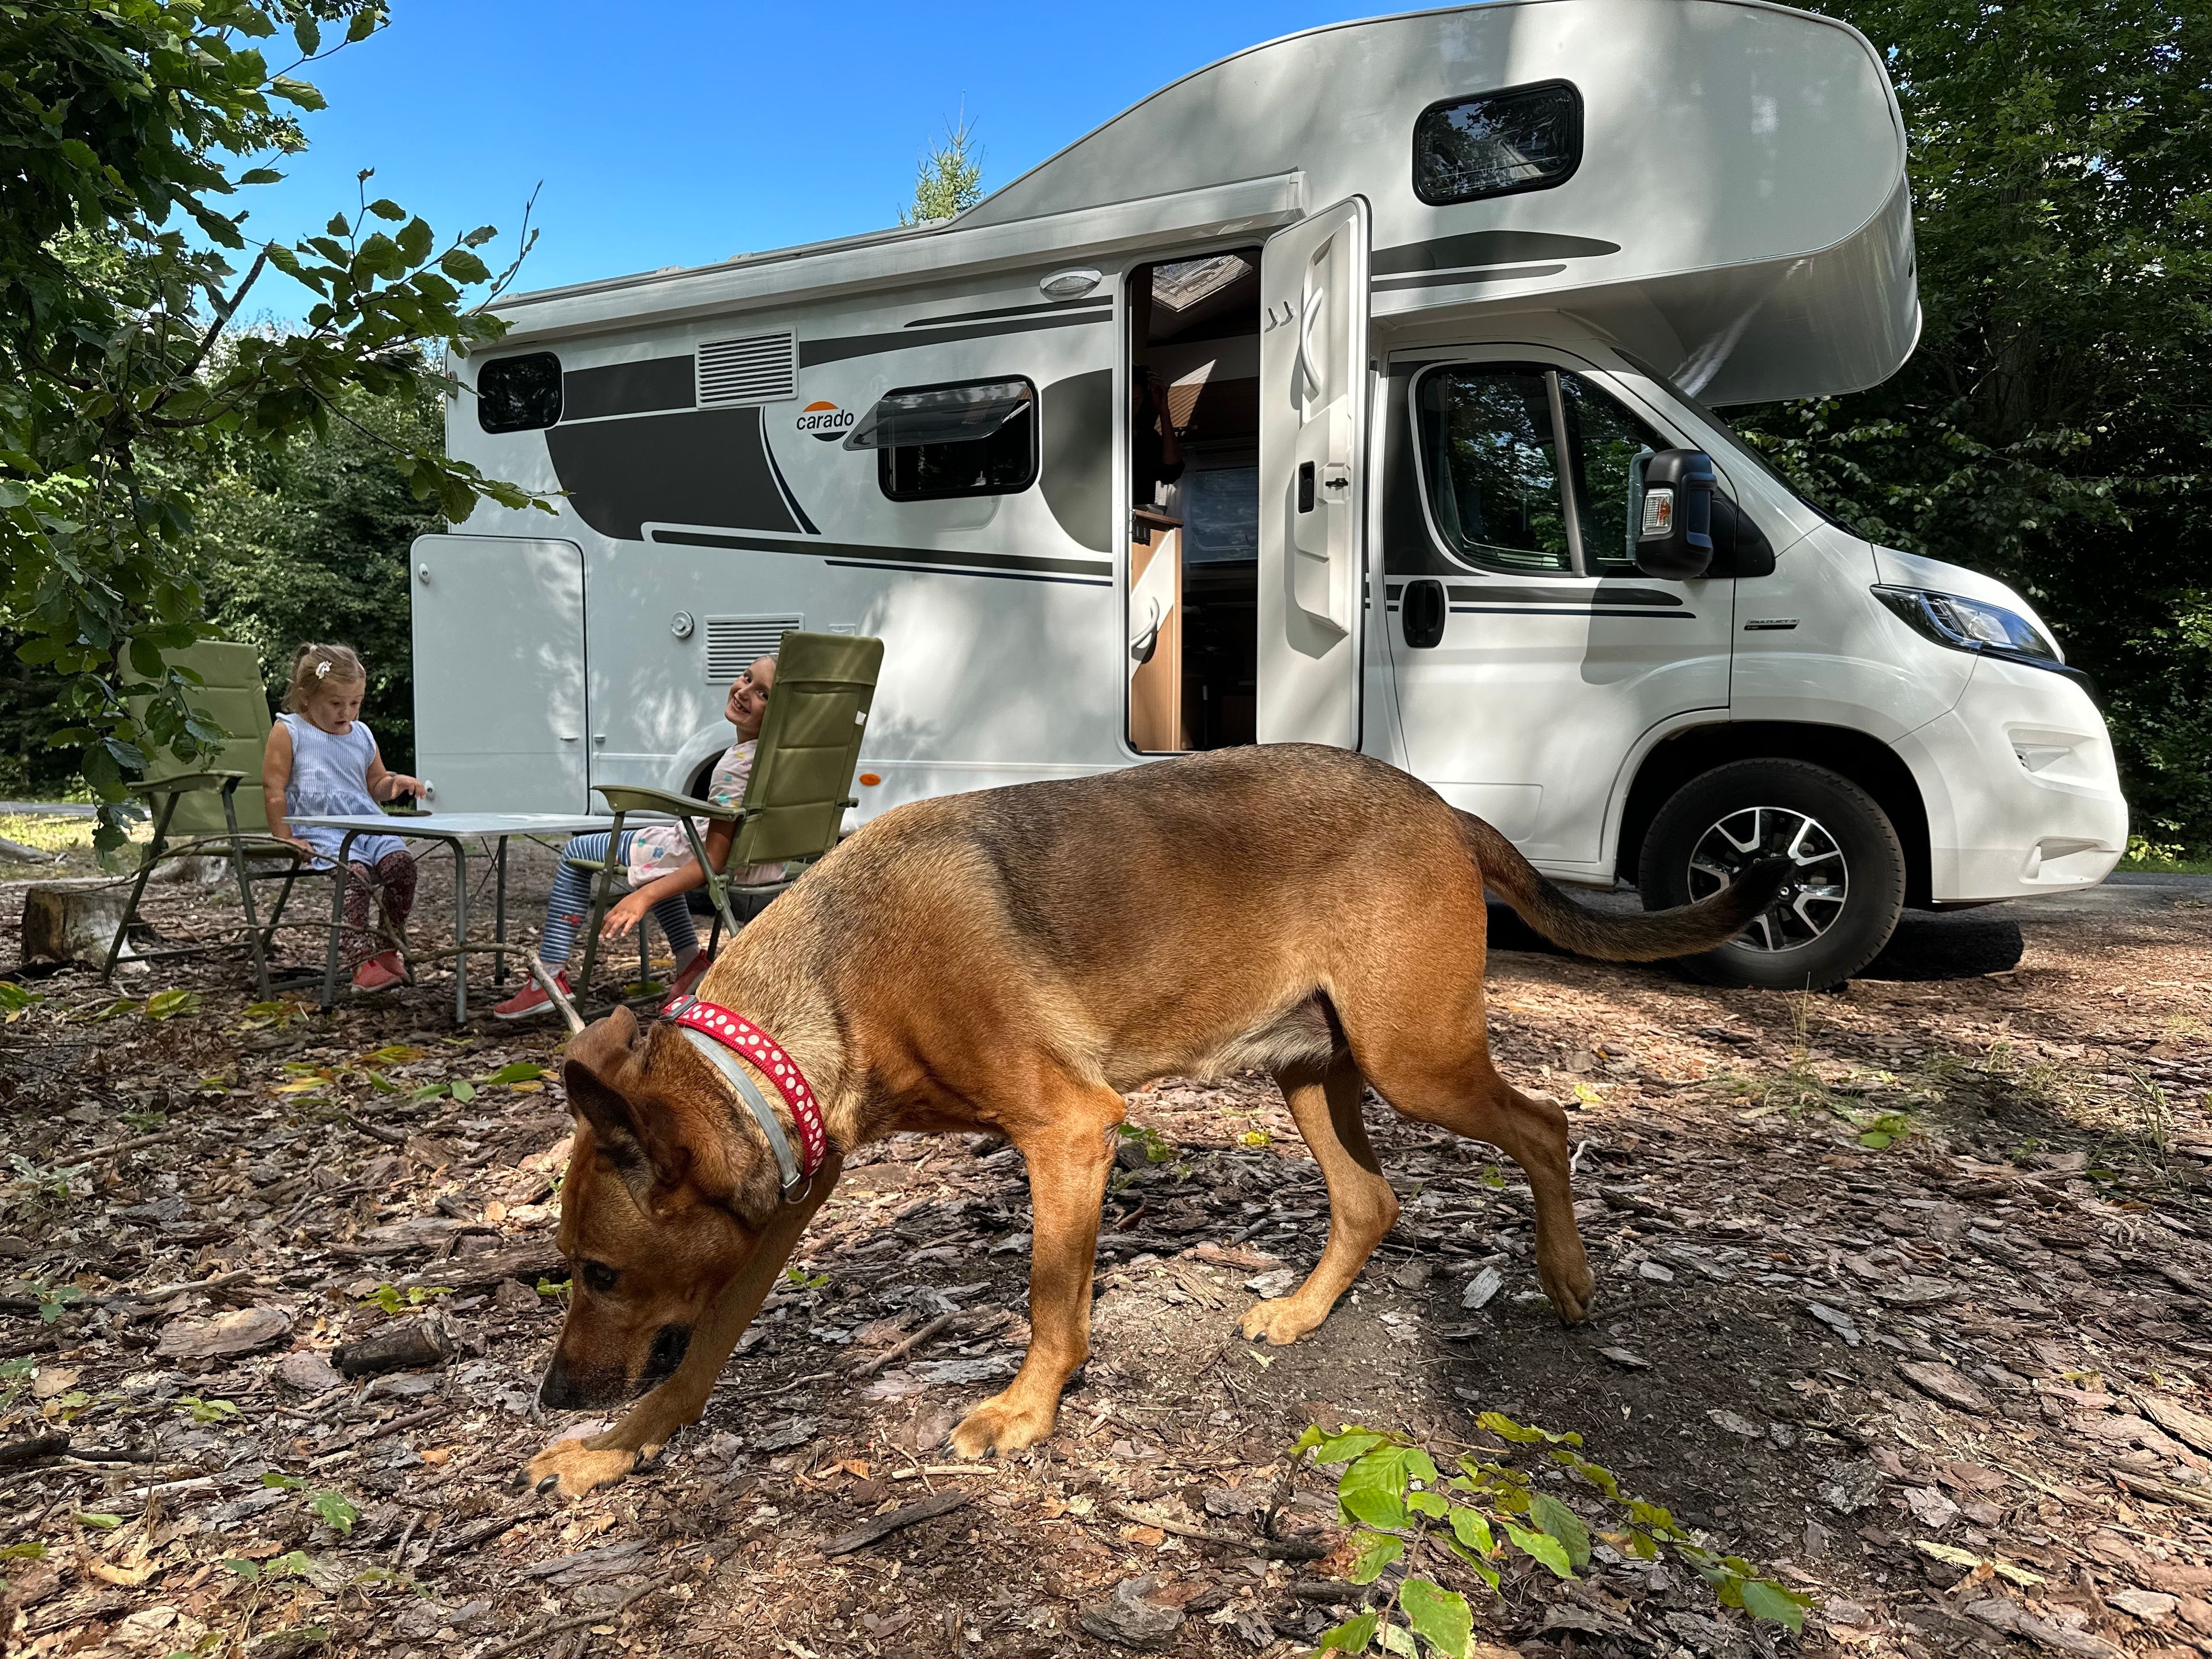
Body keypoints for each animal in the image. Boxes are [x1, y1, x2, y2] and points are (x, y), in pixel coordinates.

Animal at [517, 747, 1778, 1504]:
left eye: (601, 1272)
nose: (554, 1396)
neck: (833, 984)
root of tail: (1443, 806)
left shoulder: (1071, 1130)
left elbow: (1049, 1303)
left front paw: (1025, 1414)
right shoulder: (790, 1194)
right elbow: (702, 1354)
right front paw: (617, 1449)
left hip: (1416, 1062)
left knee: (1548, 1125)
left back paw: (1568, 1276)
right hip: (1313, 1069)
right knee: (1374, 1199)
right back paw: (1301, 1314)